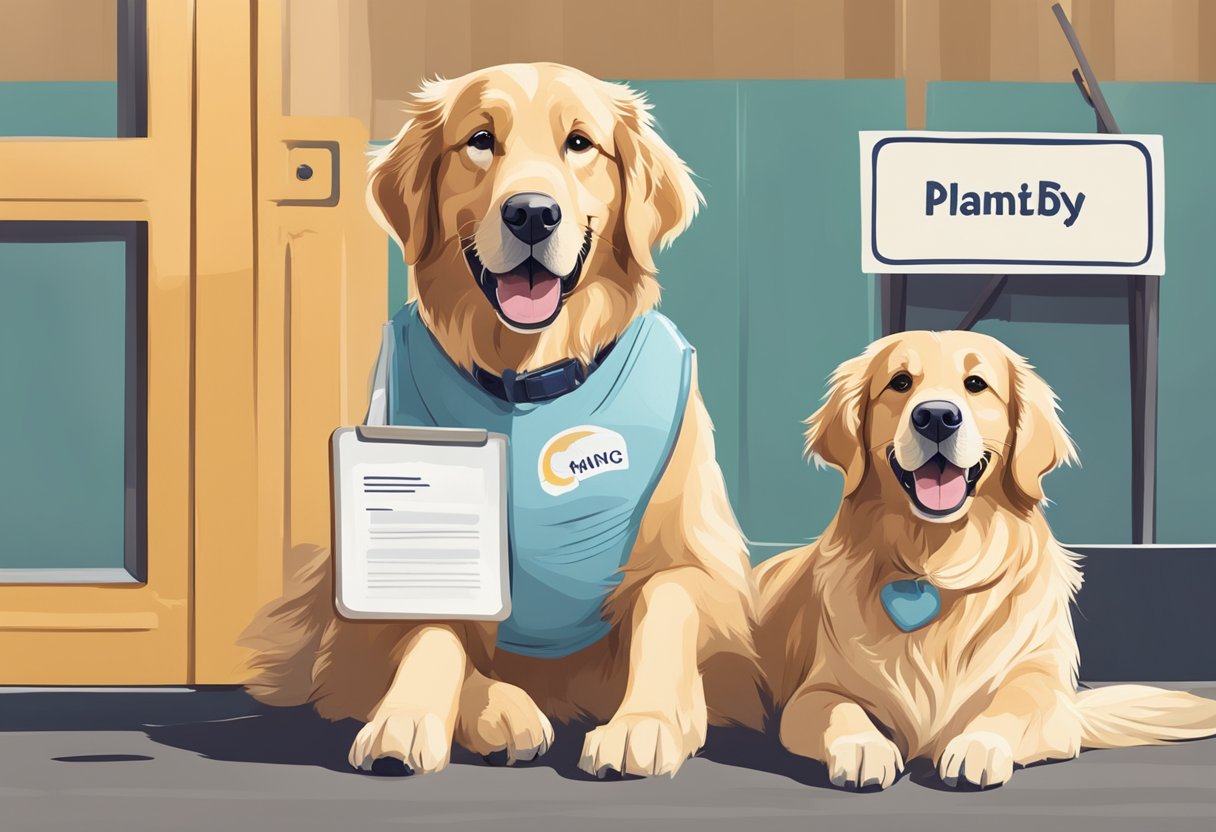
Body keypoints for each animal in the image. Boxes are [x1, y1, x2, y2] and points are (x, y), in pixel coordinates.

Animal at [239, 63, 749, 778]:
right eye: (480, 140)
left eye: (580, 143)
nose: (532, 212)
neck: (529, 382)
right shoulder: (369, 617)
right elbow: (432, 629)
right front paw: (416, 717)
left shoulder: (702, 566)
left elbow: (664, 609)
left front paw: (644, 723)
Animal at [753, 330, 1211, 788]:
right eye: (900, 382)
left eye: (976, 384)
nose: (936, 416)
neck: (937, 565)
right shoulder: (813, 692)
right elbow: (839, 709)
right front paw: (863, 746)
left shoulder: (1046, 691)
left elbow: (1013, 703)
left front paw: (979, 744)